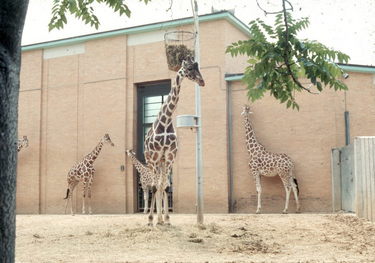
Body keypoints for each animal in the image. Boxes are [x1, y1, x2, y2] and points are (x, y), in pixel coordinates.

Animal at [145, 56, 206, 226]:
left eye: (198, 67)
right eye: (190, 68)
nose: (202, 82)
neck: (166, 121)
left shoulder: (170, 156)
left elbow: (165, 187)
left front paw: (166, 219)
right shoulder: (155, 156)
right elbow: (154, 188)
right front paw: (150, 220)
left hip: (162, 162)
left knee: (160, 185)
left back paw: (161, 219)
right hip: (151, 161)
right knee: (154, 186)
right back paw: (153, 219)